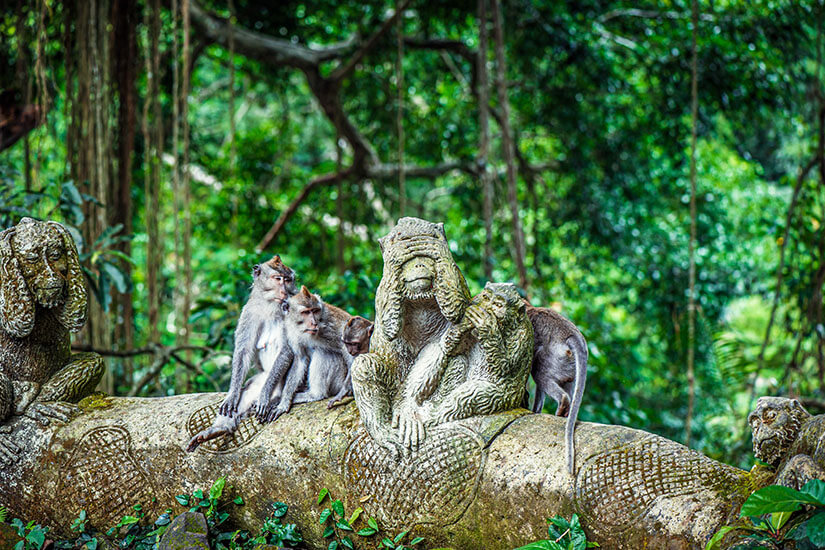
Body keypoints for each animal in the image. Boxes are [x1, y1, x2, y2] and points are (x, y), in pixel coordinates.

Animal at [186, 255, 296, 452]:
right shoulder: (249, 311)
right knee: (248, 389)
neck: (271, 306)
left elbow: (287, 350)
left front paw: (264, 396)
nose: (284, 291)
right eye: (278, 279)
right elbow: (243, 352)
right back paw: (219, 429)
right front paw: (232, 395)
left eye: (288, 280)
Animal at [255, 286, 353, 422]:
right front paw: (284, 403)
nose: (314, 322)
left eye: (315, 311)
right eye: (306, 312)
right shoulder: (291, 331)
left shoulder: (331, 325)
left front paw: (346, 390)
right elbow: (300, 359)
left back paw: (316, 394)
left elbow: (347, 347)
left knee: (323, 352)